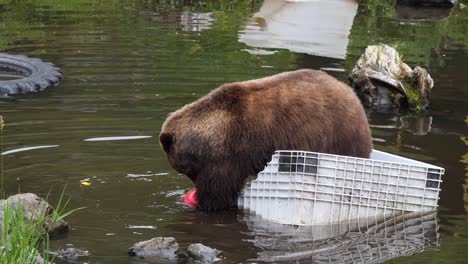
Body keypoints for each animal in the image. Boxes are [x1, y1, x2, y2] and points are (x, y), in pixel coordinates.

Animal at [159, 69, 372, 211]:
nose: (194, 185)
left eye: (182, 167)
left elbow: (219, 191)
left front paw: (206, 202)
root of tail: (353, 96)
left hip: (339, 135)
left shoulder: (232, 152)